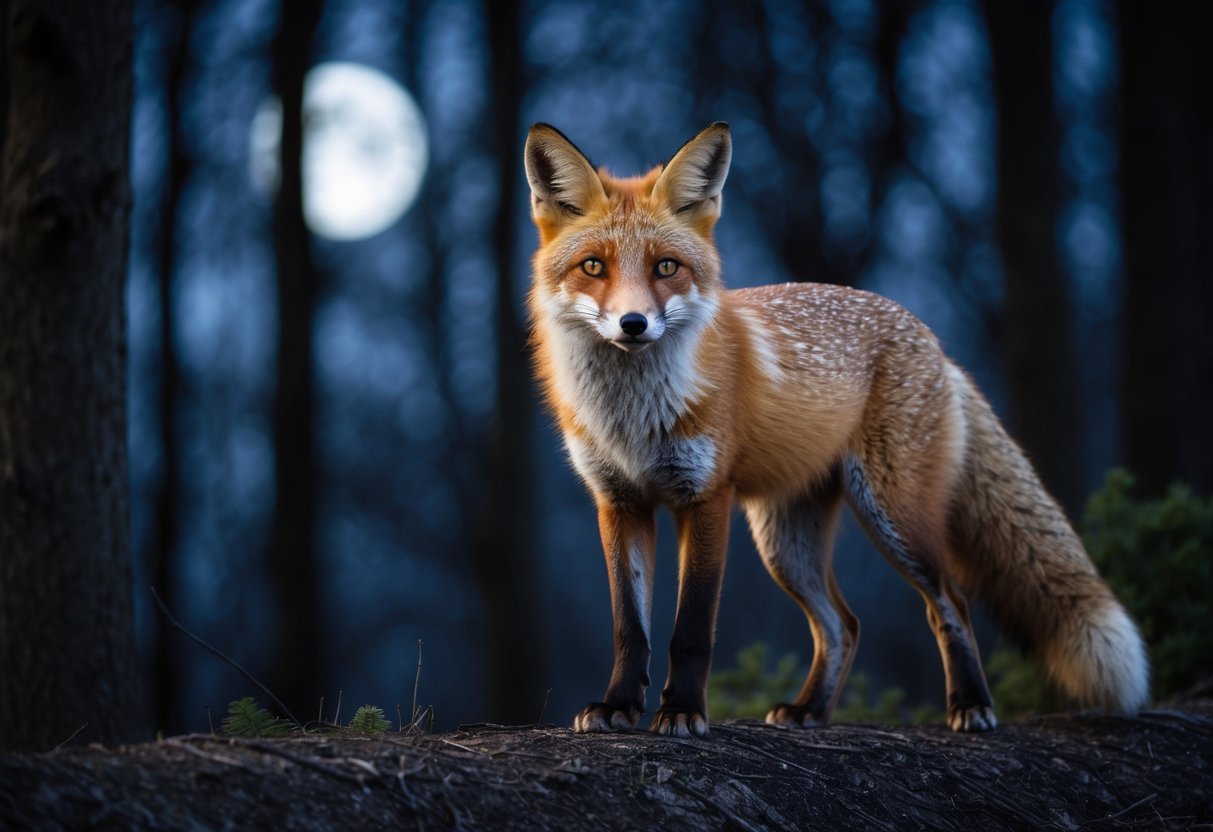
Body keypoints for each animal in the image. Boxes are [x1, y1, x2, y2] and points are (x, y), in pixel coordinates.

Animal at [523, 121, 1149, 738]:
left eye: (666, 267)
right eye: (594, 266)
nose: (634, 324)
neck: (632, 418)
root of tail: (934, 342)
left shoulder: (706, 498)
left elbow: (692, 629)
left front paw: (682, 711)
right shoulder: (619, 502)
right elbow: (629, 628)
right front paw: (618, 706)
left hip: (894, 517)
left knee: (950, 603)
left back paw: (970, 705)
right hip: (786, 544)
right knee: (842, 624)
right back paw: (810, 711)